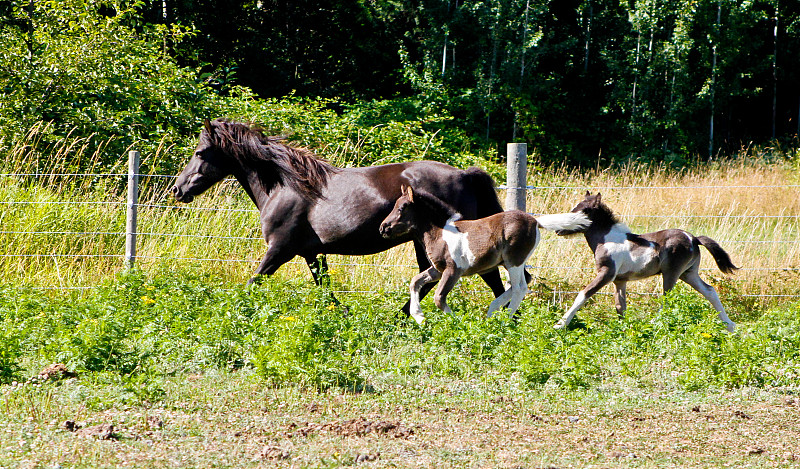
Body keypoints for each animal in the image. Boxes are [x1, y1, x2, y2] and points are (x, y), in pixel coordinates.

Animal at [172, 119, 510, 312]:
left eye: (200, 153)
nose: (178, 189)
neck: (285, 186)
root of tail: (466, 175)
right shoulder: (312, 253)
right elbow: (324, 288)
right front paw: (341, 314)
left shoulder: (279, 250)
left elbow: (252, 282)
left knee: (488, 279)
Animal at [378, 185, 592, 324]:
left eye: (402, 207)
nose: (383, 228)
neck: (441, 232)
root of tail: (535, 221)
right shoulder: (438, 269)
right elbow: (415, 281)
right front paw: (419, 317)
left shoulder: (453, 270)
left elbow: (439, 298)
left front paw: (456, 322)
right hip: (510, 262)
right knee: (523, 283)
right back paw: (491, 311)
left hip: (514, 261)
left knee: (520, 288)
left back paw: (502, 321)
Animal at [556, 192, 736, 330]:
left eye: (584, 211)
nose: (559, 230)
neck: (606, 240)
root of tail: (694, 238)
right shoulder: (620, 280)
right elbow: (620, 307)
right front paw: (624, 330)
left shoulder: (607, 273)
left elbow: (584, 294)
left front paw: (560, 324)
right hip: (688, 273)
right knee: (710, 291)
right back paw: (729, 326)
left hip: (671, 273)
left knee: (667, 299)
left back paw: (654, 323)